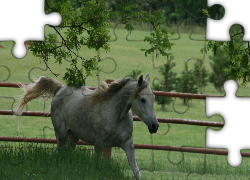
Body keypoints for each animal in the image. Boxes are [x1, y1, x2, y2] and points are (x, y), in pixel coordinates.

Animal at [15, 74, 159, 179]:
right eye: (142, 99)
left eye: (154, 98)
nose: (155, 126)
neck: (115, 114)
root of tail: (61, 88)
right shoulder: (99, 144)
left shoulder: (128, 143)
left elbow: (136, 171)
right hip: (60, 134)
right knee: (60, 153)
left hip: (73, 137)